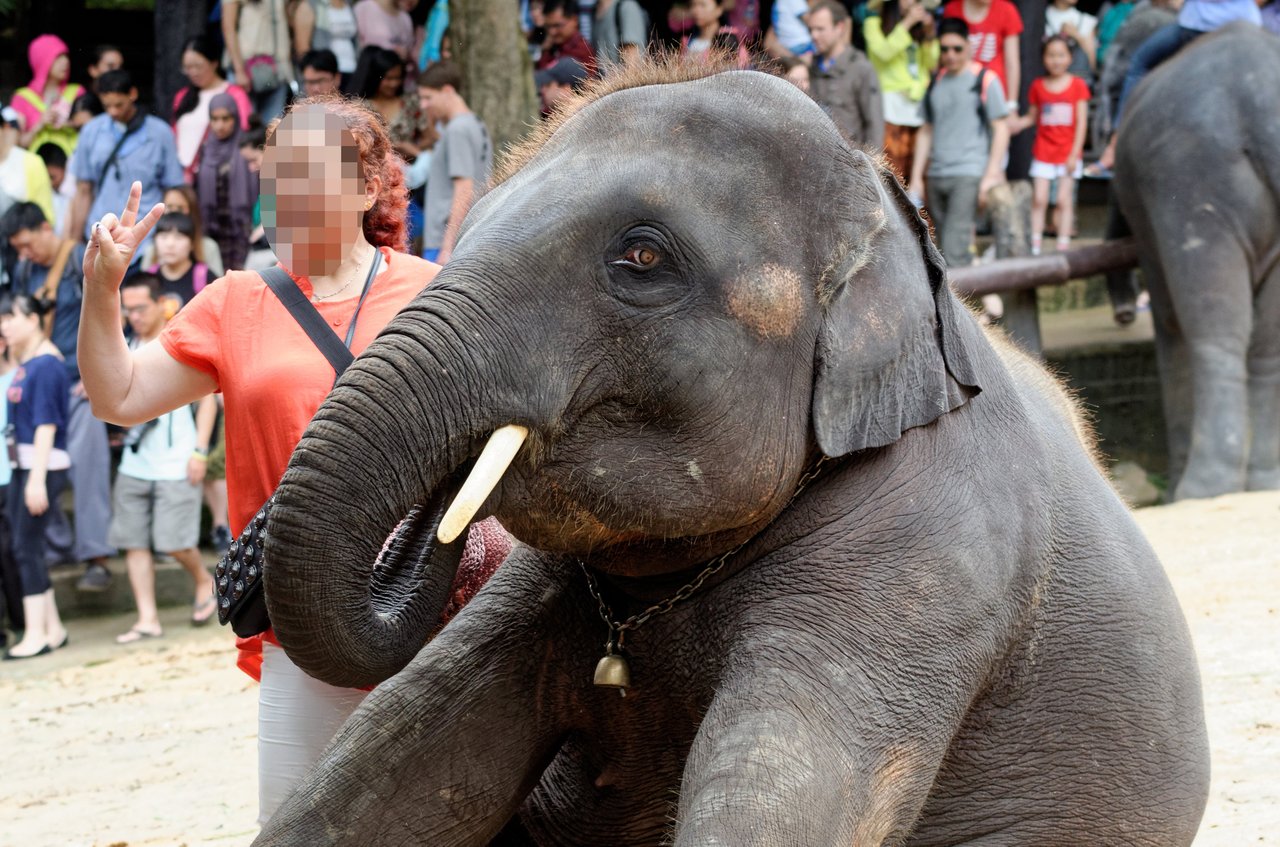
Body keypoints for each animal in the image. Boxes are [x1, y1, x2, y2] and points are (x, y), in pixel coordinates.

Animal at [1107, 23, 1280, 501]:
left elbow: (1168, 319)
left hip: (1191, 183)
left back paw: (1203, 489)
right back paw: (1262, 481)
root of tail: (1261, 102)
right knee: (1265, 343)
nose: (1124, 311)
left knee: (1210, 327)